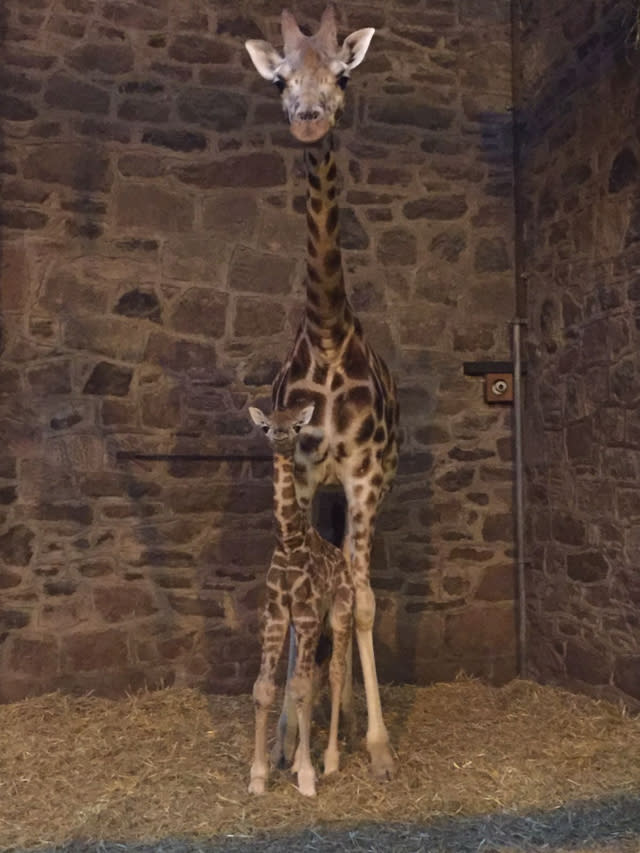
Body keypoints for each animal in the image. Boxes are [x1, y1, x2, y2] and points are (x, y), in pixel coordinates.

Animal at [249, 402, 356, 796]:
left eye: (297, 426)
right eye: (266, 426)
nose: (281, 436)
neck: (290, 541)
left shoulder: (307, 617)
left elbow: (299, 686)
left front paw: (308, 777)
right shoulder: (278, 615)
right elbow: (265, 688)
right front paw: (259, 775)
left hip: (339, 613)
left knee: (336, 674)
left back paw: (330, 761)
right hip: (314, 627)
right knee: (312, 677)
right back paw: (296, 760)